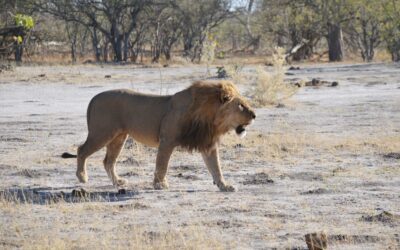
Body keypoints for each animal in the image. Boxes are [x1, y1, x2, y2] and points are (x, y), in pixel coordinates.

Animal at [62, 80, 256, 191]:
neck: (211, 118)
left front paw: (224, 185)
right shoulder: (167, 140)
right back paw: (82, 176)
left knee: (108, 161)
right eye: (241, 106)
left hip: (119, 137)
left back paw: (118, 182)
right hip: (102, 133)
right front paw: (160, 184)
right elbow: (162, 165)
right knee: (81, 150)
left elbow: (216, 167)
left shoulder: (207, 144)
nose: (254, 115)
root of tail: (94, 98)